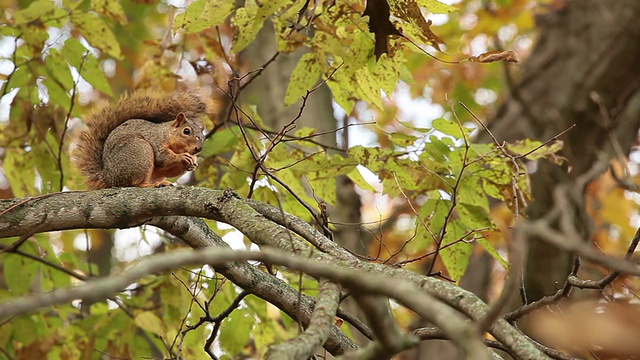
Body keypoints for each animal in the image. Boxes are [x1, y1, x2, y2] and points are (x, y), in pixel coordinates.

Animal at [74, 90, 208, 190]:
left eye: (203, 137)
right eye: (186, 131)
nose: (198, 149)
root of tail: (109, 177)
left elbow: (170, 171)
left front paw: (193, 162)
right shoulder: (156, 140)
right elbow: (162, 158)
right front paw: (183, 157)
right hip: (140, 152)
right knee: (136, 183)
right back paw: (153, 184)